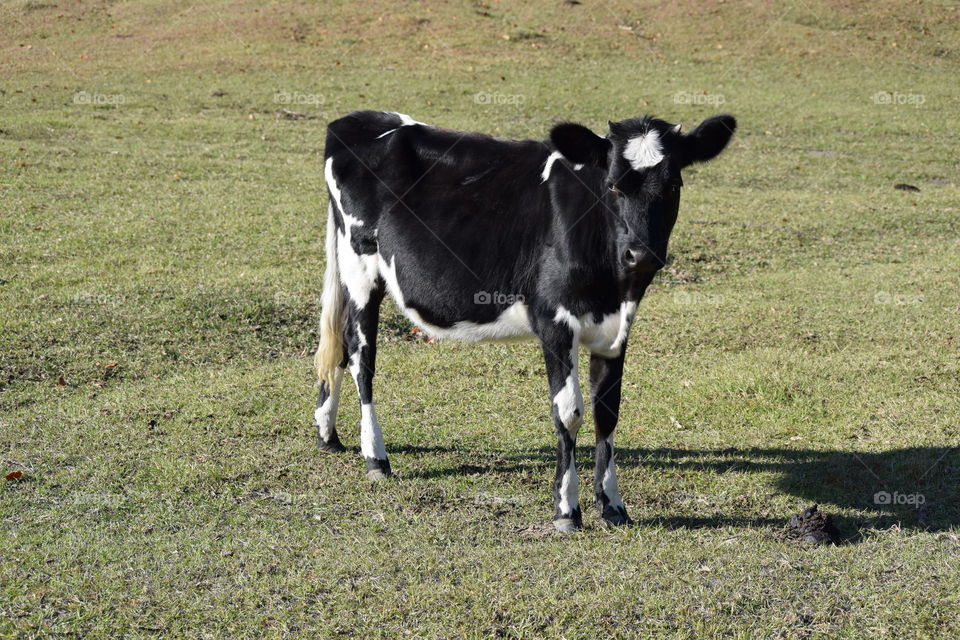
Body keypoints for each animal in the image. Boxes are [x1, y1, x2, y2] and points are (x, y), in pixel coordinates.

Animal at [313, 110, 736, 532]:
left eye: (673, 185)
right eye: (614, 185)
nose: (642, 255)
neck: (611, 286)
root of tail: (358, 119)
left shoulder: (617, 328)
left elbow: (608, 413)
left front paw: (613, 505)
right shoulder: (554, 321)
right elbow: (569, 412)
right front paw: (566, 509)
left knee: (339, 343)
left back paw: (327, 433)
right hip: (361, 268)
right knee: (361, 357)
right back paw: (376, 457)